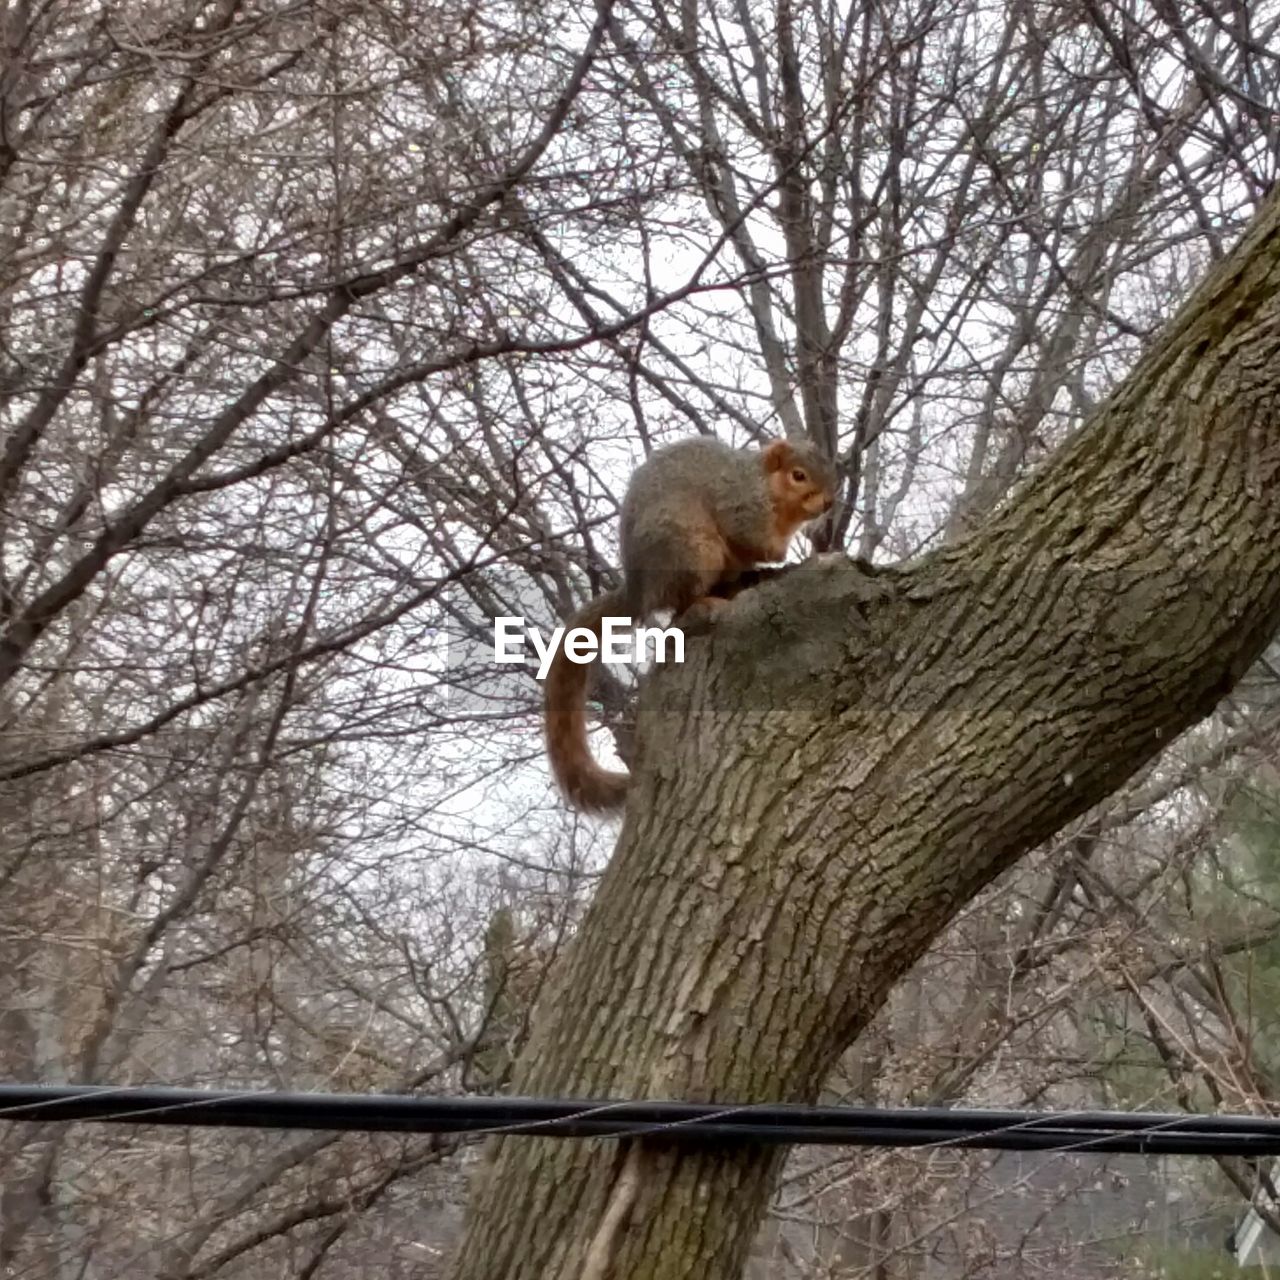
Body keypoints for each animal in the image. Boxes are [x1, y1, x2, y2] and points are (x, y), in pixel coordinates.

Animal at [542, 437, 834, 808]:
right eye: (798, 475)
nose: (829, 502)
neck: (768, 490)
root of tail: (639, 591)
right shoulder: (739, 504)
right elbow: (752, 538)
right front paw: (779, 552)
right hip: (691, 549)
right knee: (682, 602)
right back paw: (708, 599)